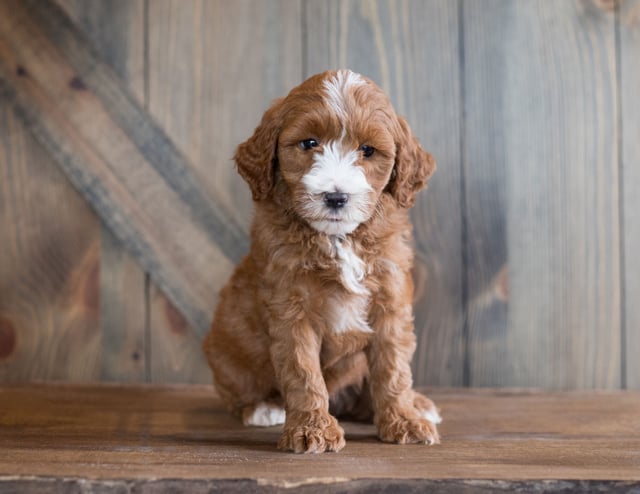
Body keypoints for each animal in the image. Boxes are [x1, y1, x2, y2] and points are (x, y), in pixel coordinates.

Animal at [205, 70, 440, 456]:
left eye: (368, 150)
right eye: (309, 143)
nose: (336, 197)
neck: (339, 238)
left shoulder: (390, 299)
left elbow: (392, 366)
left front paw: (403, 419)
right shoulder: (291, 306)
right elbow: (303, 371)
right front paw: (311, 429)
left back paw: (415, 403)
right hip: (226, 349)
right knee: (237, 390)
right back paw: (262, 407)